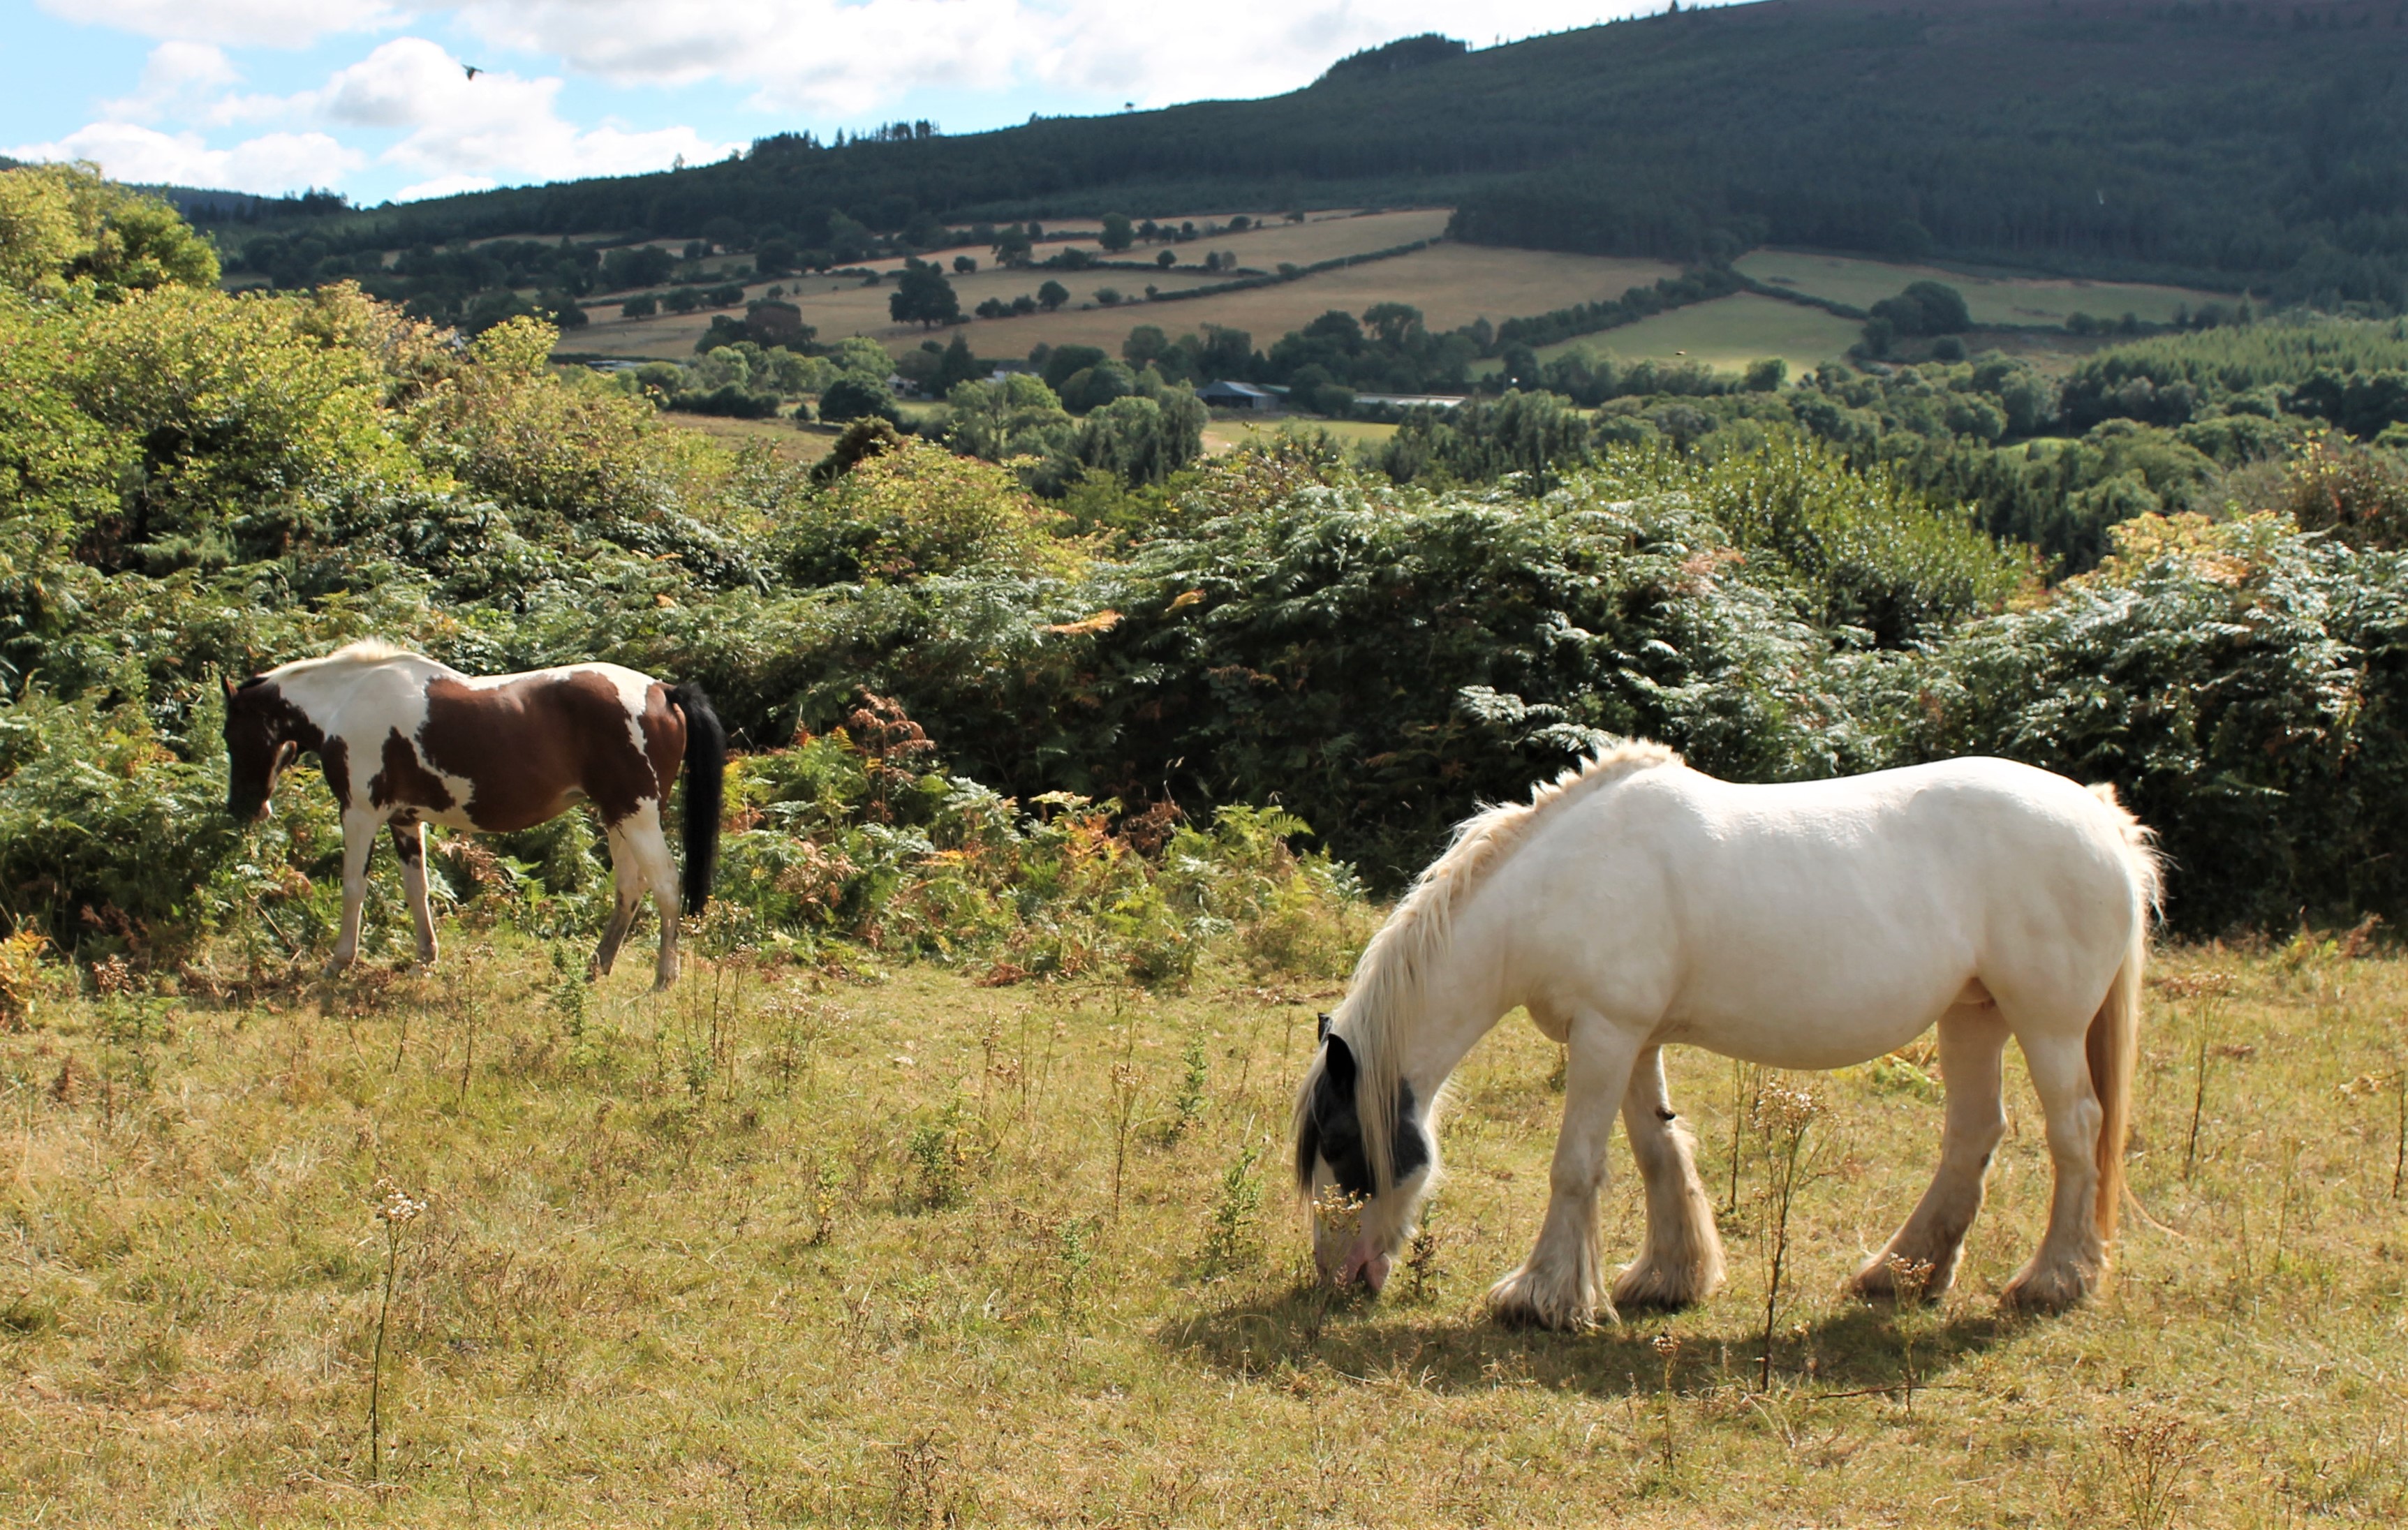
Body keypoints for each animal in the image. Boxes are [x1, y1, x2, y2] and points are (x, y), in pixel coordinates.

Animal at [221, 641, 725, 990]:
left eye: (231, 734)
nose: (244, 808)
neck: (347, 701)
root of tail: (663, 691)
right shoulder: (405, 820)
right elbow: (417, 889)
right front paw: (425, 957)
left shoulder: (360, 815)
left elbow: (353, 889)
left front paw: (339, 962)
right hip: (618, 815)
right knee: (629, 889)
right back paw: (598, 965)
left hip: (637, 815)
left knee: (666, 887)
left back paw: (664, 977)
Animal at [1292, 742, 2159, 1330]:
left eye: (1340, 1145)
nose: (1338, 1274)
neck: (1558, 883)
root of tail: (2101, 818)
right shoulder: (1631, 1037)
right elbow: (1657, 1150)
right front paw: (1669, 1276)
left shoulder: (1605, 1032)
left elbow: (1575, 1165)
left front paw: (1541, 1297)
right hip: (1972, 1014)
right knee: (1973, 1134)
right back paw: (1900, 1274)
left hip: (2046, 1023)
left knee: (2076, 1132)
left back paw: (2052, 1280)